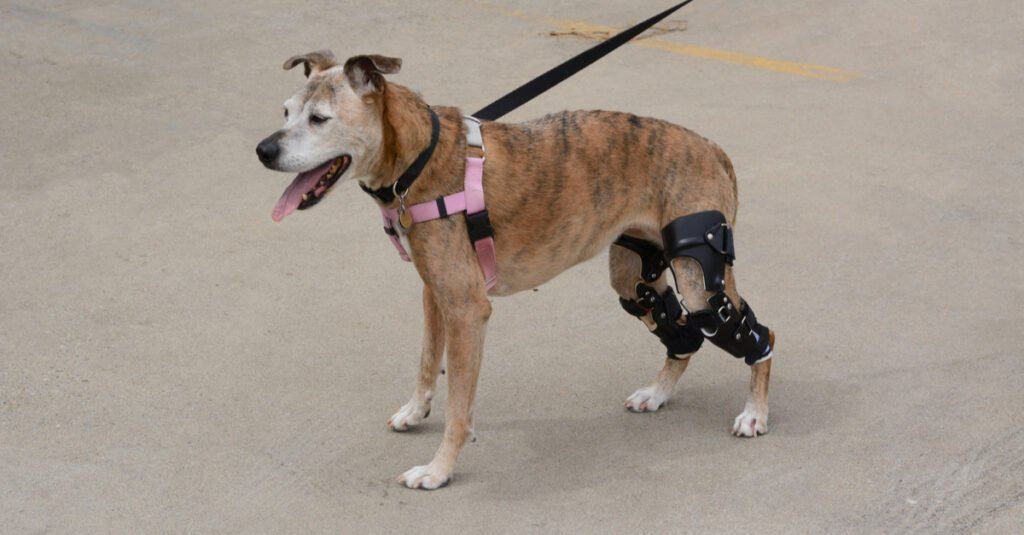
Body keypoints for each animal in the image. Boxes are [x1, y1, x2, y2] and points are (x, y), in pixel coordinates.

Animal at [256, 49, 774, 487]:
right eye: (285, 112)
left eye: (319, 119)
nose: (264, 151)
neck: (417, 157)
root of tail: (713, 149)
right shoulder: (435, 291)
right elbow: (426, 360)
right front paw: (415, 410)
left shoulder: (467, 310)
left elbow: (459, 408)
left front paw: (438, 470)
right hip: (633, 273)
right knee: (681, 332)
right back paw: (658, 392)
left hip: (699, 279)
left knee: (754, 333)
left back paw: (755, 412)